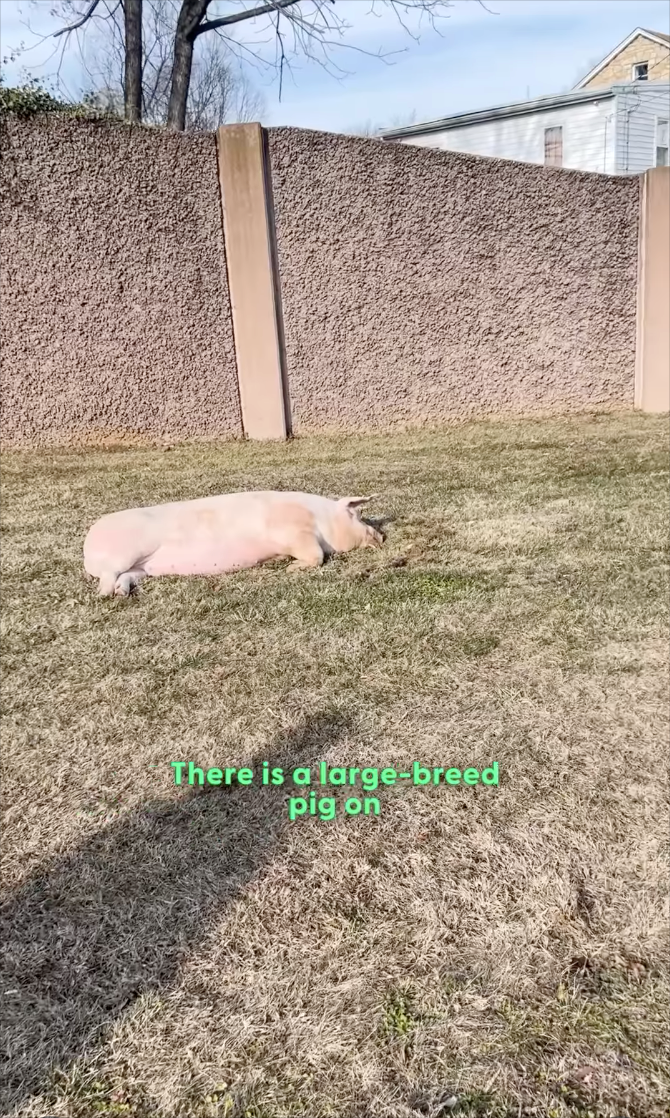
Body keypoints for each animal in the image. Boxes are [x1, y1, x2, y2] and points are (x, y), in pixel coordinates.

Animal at [83, 491, 384, 597]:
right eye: (357, 514)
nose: (381, 536)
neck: (320, 518)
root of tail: (88, 546)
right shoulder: (294, 533)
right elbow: (317, 555)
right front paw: (289, 568)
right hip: (125, 553)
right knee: (109, 576)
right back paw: (105, 595)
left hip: (142, 568)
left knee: (127, 577)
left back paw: (121, 594)